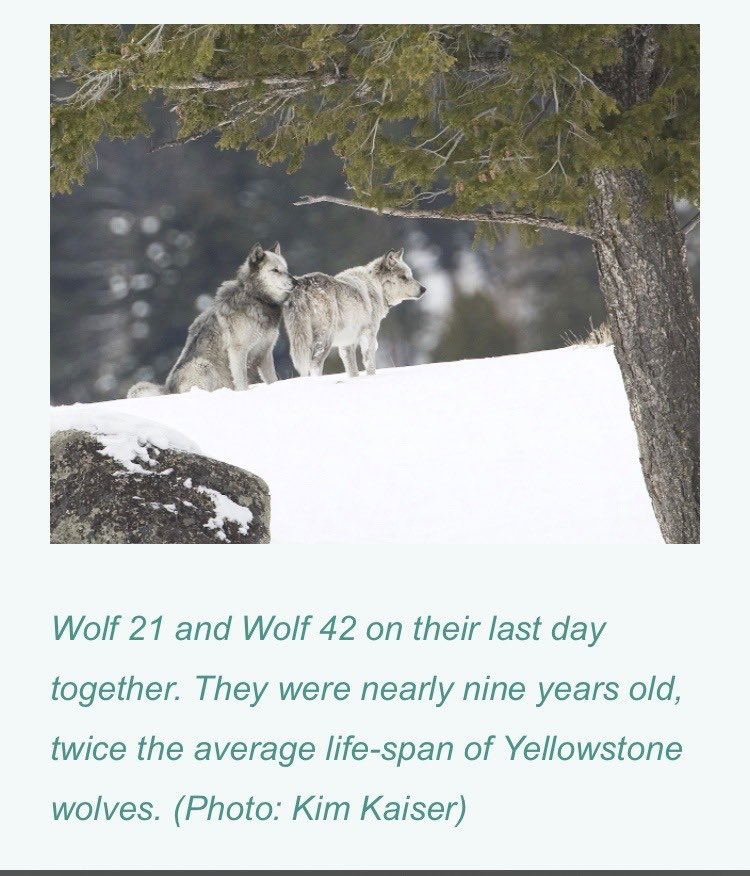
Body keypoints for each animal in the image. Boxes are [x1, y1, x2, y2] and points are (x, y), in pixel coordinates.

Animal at [127, 243, 295, 398]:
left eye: (286, 269)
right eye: (275, 270)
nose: (295, 282)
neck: (256, 298)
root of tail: (168, 391)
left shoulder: (265, 352)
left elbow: (273, 379)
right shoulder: (238, 351)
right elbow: (241, 381)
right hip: (203, 365)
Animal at [283, 248, 426, 378]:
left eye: (410, 275)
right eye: (404, 277)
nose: (424, 289)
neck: (376, 286)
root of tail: (302, 284)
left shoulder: (347, 344)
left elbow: (352, 370)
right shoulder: (368, 335)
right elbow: (369, 364)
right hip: (325, 340)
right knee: (315, 364)